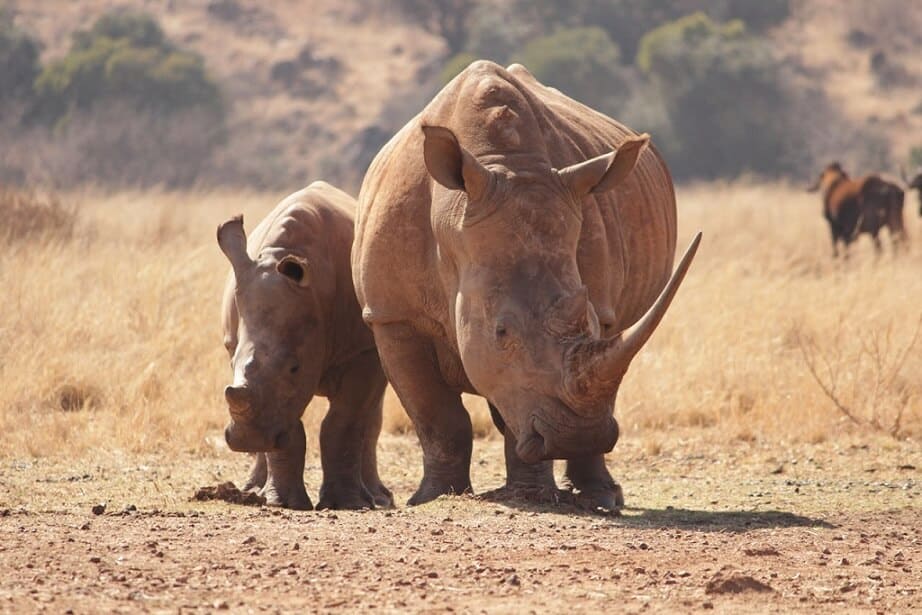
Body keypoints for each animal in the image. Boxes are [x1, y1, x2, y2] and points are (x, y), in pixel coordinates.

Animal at [218, 181, 392, 510]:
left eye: (294, 368)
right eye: (231, 361)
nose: (247, 440)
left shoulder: (363, 350)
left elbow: (344, 421)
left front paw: (347, 503)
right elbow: (287, 424)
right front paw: (283, 503)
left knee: (370, 415)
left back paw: (378, 498)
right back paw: (253, 490)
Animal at [352, 61, 700, 511]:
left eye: (591, 321)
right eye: (501, 331)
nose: (576, 436)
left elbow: (518, 401)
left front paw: (531, 494)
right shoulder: (392, 315)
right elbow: (436, 415)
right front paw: (432, 498)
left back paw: (602, 497)